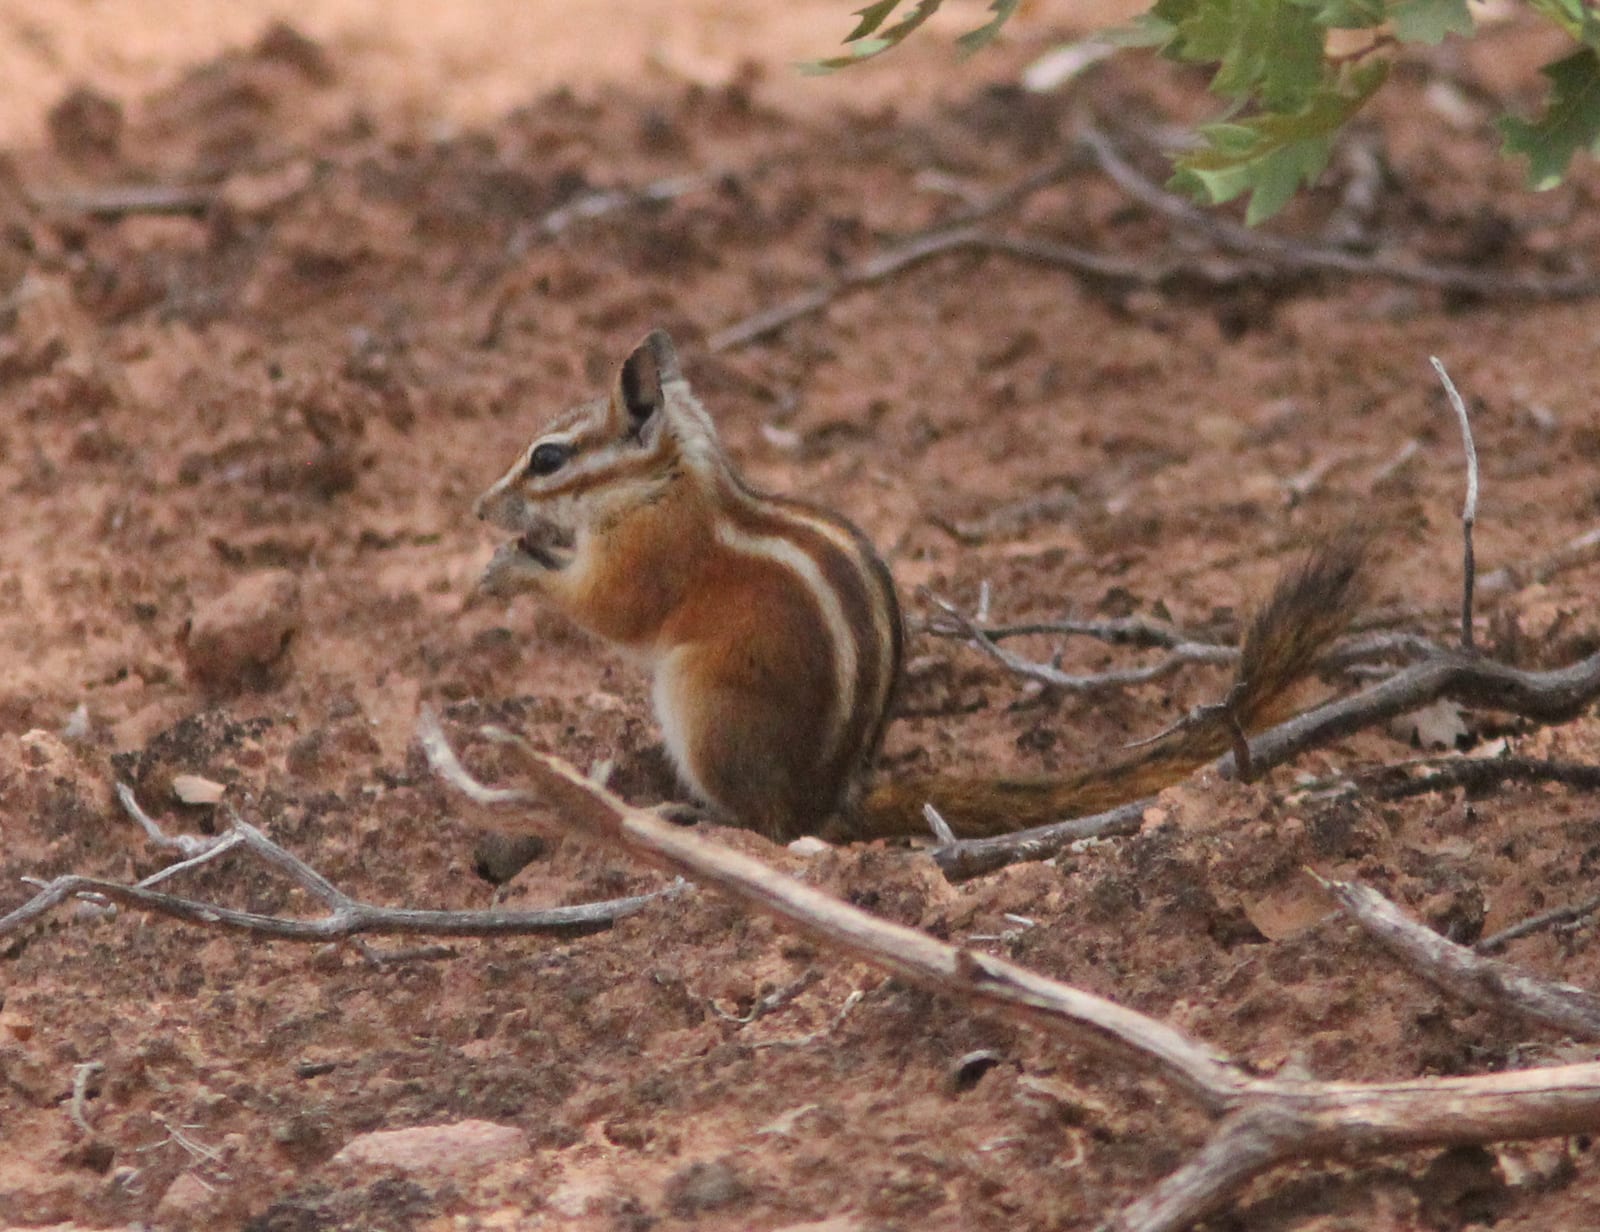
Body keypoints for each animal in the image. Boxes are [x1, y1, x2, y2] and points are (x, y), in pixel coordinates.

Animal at [474, 330, 1366, 843]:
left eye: (547, 458)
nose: (481, 505)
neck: (668, 479)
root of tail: (833, 799)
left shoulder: (653, 555)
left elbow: (610, 610)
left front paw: (510, 567)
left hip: (704, 708)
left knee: (767, 827)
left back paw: (689, 814)